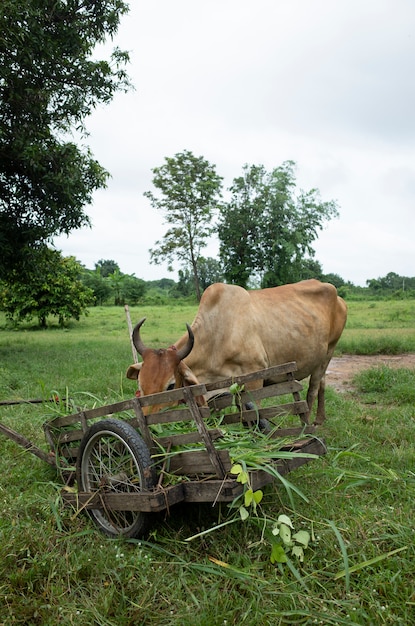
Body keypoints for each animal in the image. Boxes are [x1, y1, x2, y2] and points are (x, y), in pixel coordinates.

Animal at [127, 280, 348, 422]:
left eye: (171, 385)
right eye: (140, 383)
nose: (146, 420)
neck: (218, 334)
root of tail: (338, 297)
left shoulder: (255, 378)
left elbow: (254, 412)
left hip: (329, 352)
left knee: (312, 389)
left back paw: (309, 424)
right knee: (323, 384)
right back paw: (320, 419)